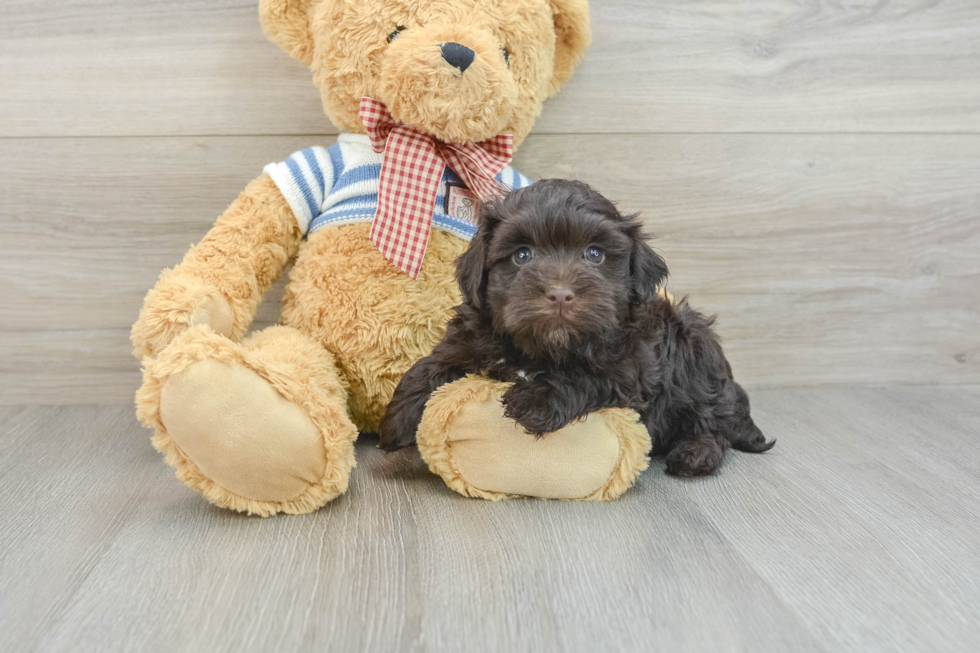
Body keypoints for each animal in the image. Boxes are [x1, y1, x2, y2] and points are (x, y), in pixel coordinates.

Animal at [378, 178, 776, 474]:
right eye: (522, 255)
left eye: (594, 254)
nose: (560, 294)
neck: (544, 347)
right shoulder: (471, 339)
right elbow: (431, 365)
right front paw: (396, 420)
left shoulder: (632, 369)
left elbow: (588, 376)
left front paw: (536, 400)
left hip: (696, 350)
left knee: (711, 421)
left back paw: (696, 453)